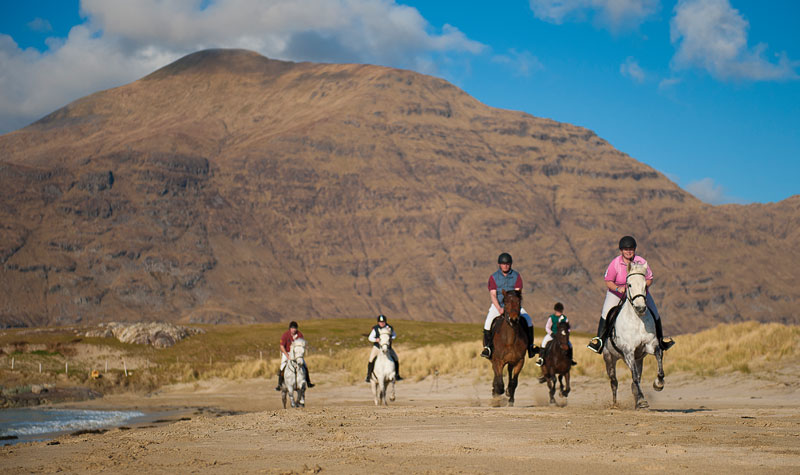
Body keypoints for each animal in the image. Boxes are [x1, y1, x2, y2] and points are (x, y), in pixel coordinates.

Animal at [604, 262, 664, 410]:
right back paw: (615, 404)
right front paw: (642, 401)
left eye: (645, 285)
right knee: (614, 381)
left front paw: (658, 384)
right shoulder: (628, 351)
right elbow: (635, 377)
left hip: (638, 359)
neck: (637, 320)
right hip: (609, 357)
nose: (641, 308)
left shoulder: (650, 345)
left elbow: (659, 360)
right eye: (629, 285)